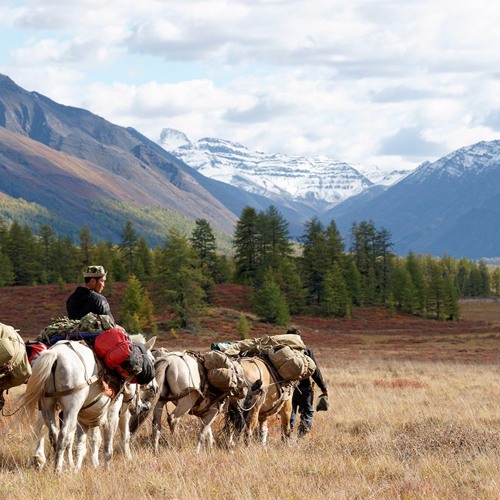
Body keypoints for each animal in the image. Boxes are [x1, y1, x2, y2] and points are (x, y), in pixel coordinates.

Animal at [17, 334, 154, 470]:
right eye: (152, 360)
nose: (154, 388)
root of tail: (55, 354)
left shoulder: (90, 417)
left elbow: (89, 441)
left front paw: (86, 465)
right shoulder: (113, 414)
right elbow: (109, 445)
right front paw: (106, 468)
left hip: (48, 406)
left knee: (52, 434)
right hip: (71, 408)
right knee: (64, 436)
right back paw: (57, 469)